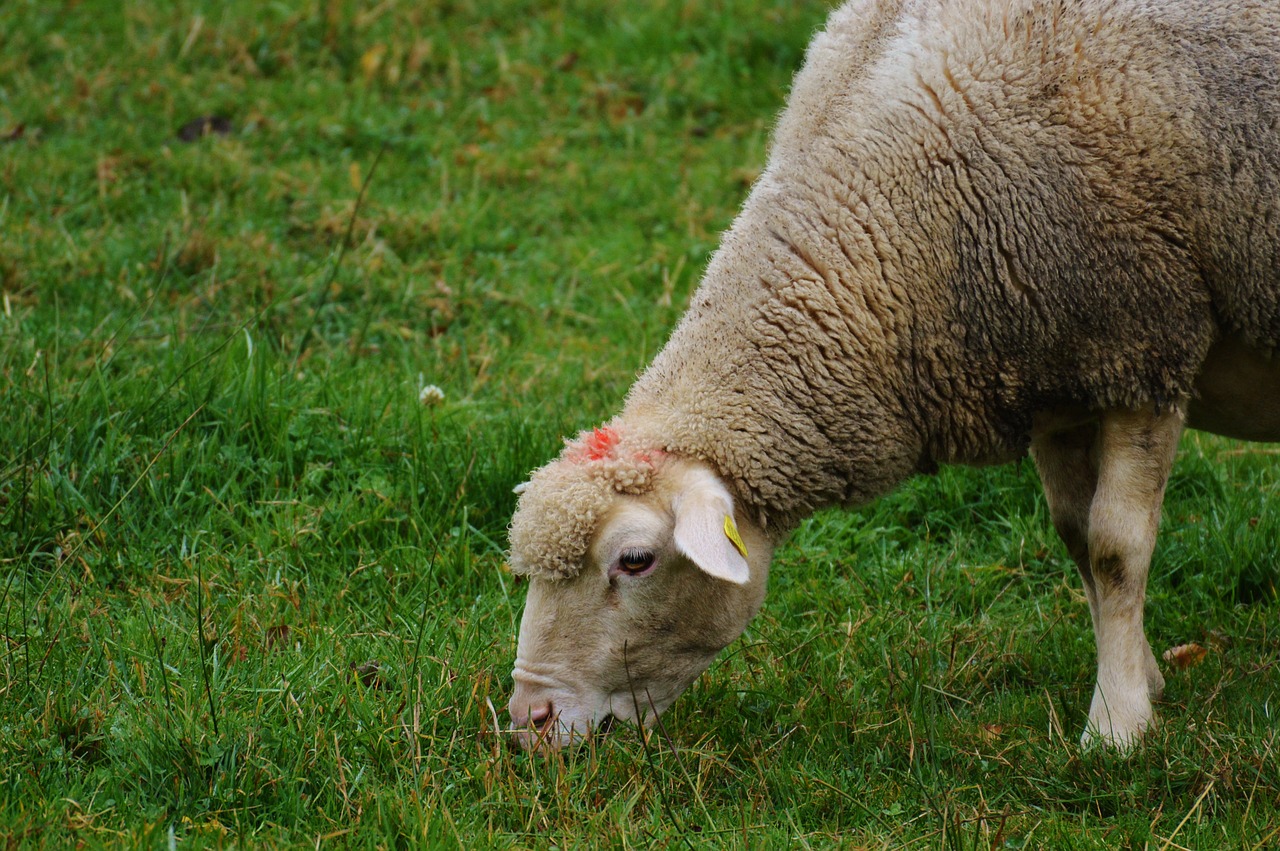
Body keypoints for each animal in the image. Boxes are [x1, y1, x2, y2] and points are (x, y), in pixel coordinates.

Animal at [499, 0, 1280, 752]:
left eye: (635, 560)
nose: (530, 721)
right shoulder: (1061, 386)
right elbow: (1076, 537)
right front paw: (1144, 679)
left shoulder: (1146, 351)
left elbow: (1116, 549)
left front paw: (1117, 727)